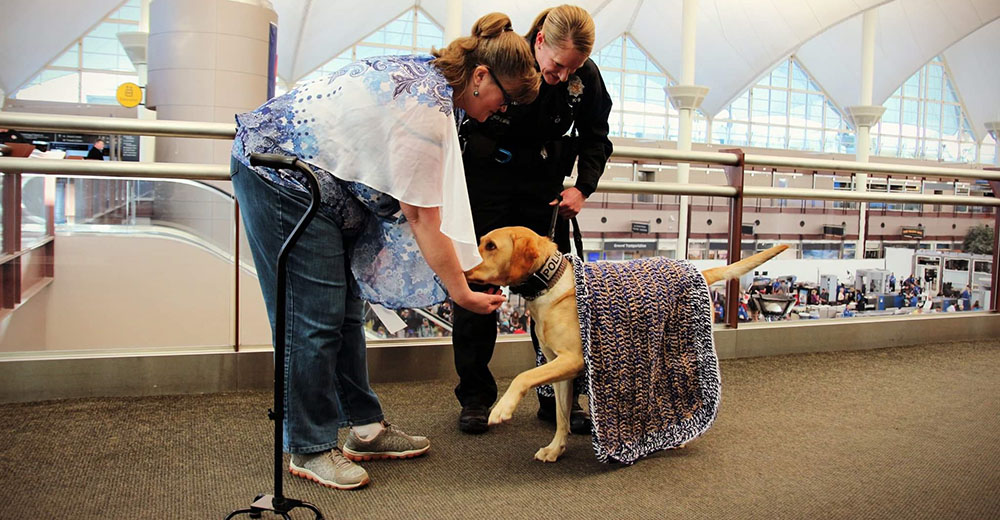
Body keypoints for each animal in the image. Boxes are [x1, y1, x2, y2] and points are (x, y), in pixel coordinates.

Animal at [466, 225, 788, 462]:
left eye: (491, 246)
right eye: (479, 242)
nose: (462, 268)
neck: (550, 282)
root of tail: (697, 269)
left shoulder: (575, 359)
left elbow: (523, 376)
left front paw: (502, 408)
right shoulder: (559, 368)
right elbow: (560, 415)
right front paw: (556, 448)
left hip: (681, 350)